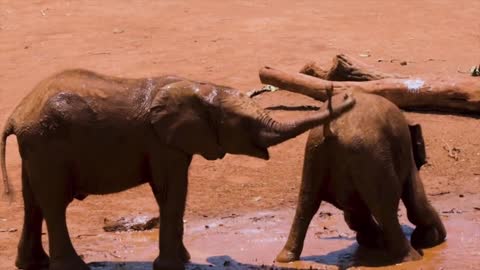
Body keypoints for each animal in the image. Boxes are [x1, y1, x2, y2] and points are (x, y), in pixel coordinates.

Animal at [0, 68, 352, 270]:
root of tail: (16, 114)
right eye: (243, 122)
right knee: (53, 204)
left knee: (34, 204)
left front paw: (182, 261)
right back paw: (74, 268)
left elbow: (171, 192)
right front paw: (173, 265)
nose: (343, 95)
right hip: (48, 145)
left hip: (37, 148)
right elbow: (172, 190)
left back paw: (32, 264)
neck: (201, 89)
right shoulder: (161, 143)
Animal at [276, 92, 448, 264]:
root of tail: (332, 128)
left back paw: (285, 258)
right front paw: (431, 239)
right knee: (385, 207)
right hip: (370, 154)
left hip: (315, 151)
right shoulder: (405, 155)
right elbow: (416, 201)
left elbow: (353, 212)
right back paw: (412, 257)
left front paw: (373, 240)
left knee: (307, 203)